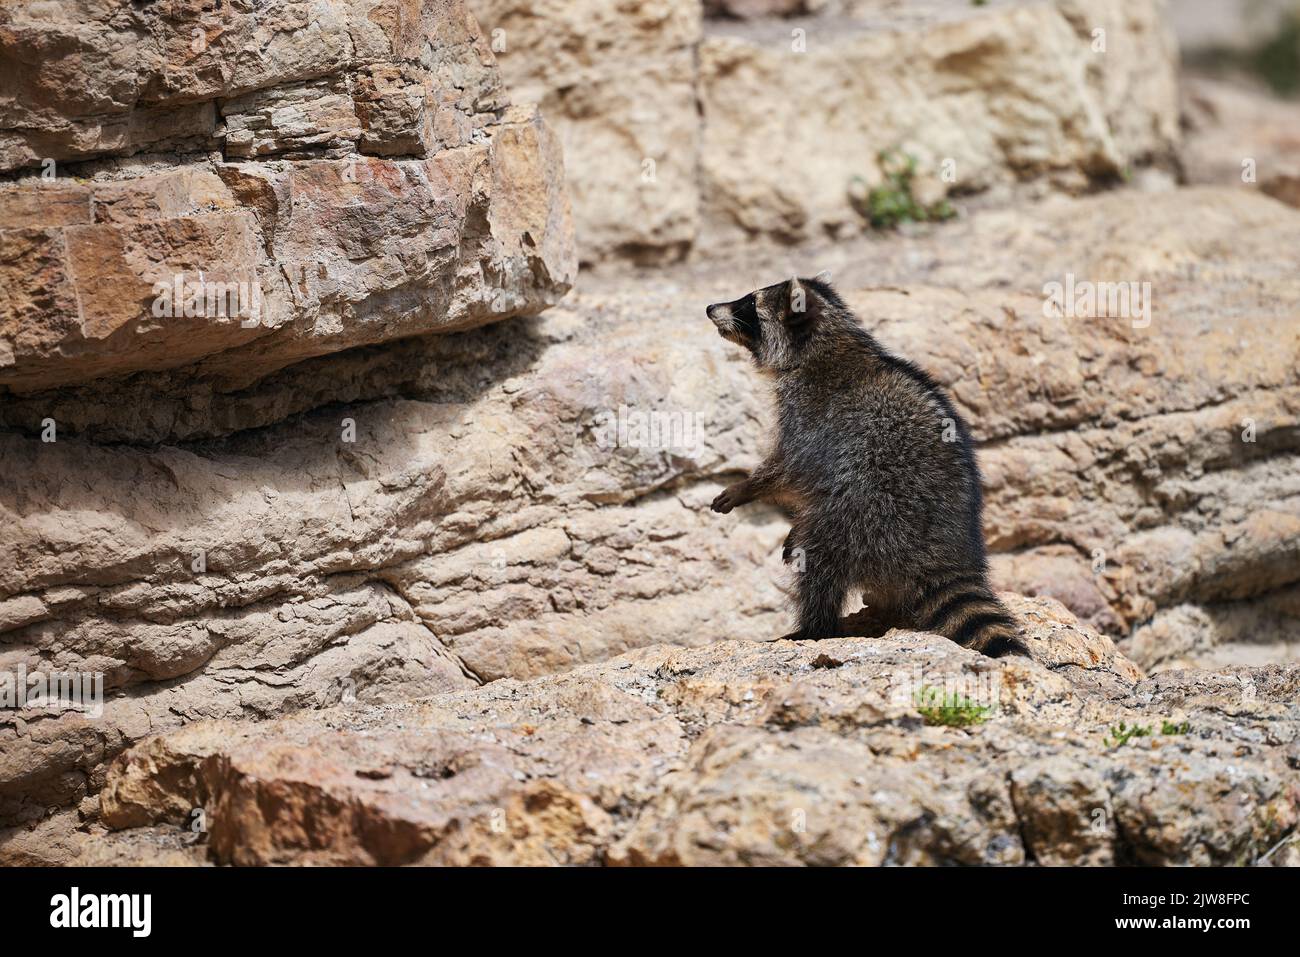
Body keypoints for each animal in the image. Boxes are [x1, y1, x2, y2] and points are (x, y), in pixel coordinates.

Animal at [706, 275, 1027, 658]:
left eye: (748, 305)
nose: (709, 308)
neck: (826, 342)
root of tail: (943, 551)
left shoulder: (811, 415)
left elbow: (792, 468)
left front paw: (748, 487)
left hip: (869, 514)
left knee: (819, 558)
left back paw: (814, 627)